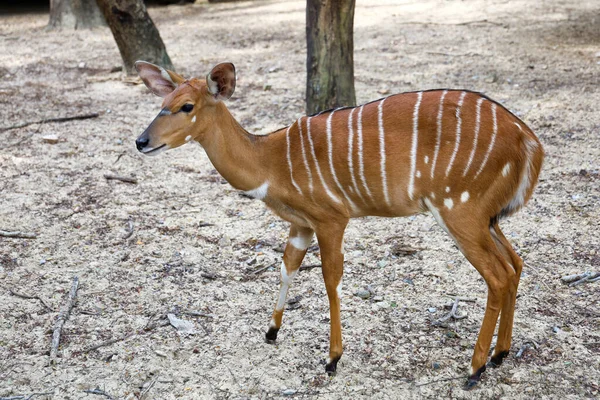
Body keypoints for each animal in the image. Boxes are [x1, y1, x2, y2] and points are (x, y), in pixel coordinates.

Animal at [135, 60, 544, 388]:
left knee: (498, 275)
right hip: (487, 217)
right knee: (516, 263)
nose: (141, 141)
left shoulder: (331, 218)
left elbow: (331, 280)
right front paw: (271, 331)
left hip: (460, 211)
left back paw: (475, 369)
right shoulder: (300, 224)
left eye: (186, 106)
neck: (271, 162)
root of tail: (529, 141)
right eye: (161, 104)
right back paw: (500, 355)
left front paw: (332, 358)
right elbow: (287, 267)